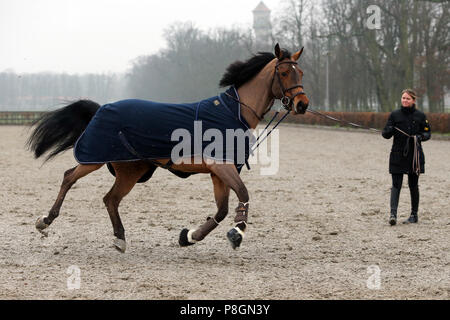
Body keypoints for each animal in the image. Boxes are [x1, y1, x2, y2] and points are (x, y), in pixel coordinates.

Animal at [27, 43, 310, 252]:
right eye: (284, 73)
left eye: (301, 73)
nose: (302, 104)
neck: (234, 112)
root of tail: (101, 107)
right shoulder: (222, 166)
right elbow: (242, 194)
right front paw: (237, 231)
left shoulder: (218, 173)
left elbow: (221, 209)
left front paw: (190, 235)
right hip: (96, 158)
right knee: (69, 178)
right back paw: (46, 221)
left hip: (130, 171)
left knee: (111, 199)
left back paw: (119, 238)